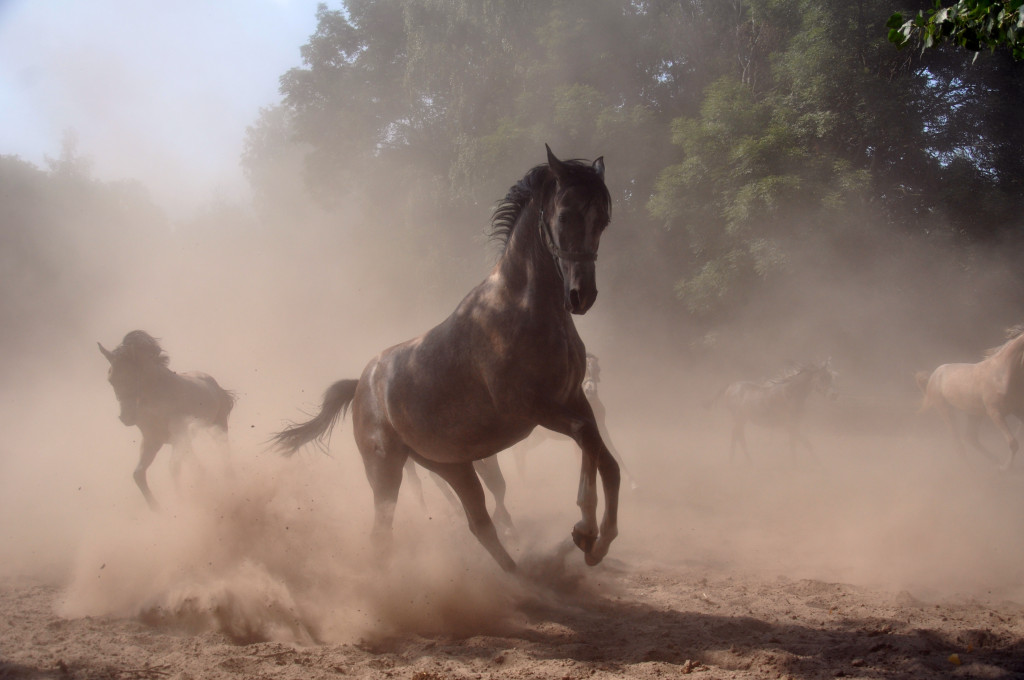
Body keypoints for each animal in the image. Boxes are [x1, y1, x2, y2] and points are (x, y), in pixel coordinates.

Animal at [98, 329, 235, 510]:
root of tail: (215, 385)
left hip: (218, 427)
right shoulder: (152, 441)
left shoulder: (177, 437)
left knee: (224, 455)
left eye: (132, 377)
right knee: (197, 465)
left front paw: (180, 503)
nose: (126, 417)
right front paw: (157, 509)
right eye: (111, 380)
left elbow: (173, 468)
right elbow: (138, 474)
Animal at [272, 146, 618, 569]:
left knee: (480, 522)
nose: (581, 295)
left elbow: (606, 460)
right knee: (384, 532)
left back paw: (526, 573)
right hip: (386, 469)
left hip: (450, 466)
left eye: (602, 220)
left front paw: (599, 541)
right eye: (565, 214)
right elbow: (587, 440)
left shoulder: (573, 398)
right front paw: (585, 530)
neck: (522, 308)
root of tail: (360, 384)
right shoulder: (532, 407)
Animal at [704, 360, 839, 462]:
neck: (790, 394)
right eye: (821, 378)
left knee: (738, 436)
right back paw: (737, 461)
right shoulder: (790, 425)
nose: (834, 395)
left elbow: (794, 444)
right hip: (739, 419)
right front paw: (819, 466)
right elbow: (806, 444)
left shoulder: (794, 425)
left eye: (831, 377)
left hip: (742, 419)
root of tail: (730, 386)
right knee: (737, 436)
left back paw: (746, 461)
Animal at [917, 327, 1024, 471]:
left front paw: (1003, 466)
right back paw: (970, 469)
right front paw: (1005, 468)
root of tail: (935, 374)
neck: (1002, 375)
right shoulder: (995, 413)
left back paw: (994, 461)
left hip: (974, 413)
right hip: (946, 410)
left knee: (970, 438)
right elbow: (1013, 443)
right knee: (958, 442)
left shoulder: (1016, 409)